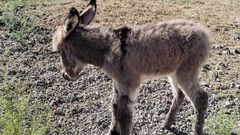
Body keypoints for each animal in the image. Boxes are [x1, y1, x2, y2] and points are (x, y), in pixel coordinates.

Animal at [52, 0, 210, 134]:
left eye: (59, 51)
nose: (65, 75)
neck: (107, 49)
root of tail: (203, 33)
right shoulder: (118, 82)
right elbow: (114, 107)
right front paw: (112, 131)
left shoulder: (128, 82)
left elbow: (124, 115)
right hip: (173, 72)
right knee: (180, 95)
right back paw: (166, 124)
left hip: (186, 71)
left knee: (201, 98)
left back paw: (196, 130)